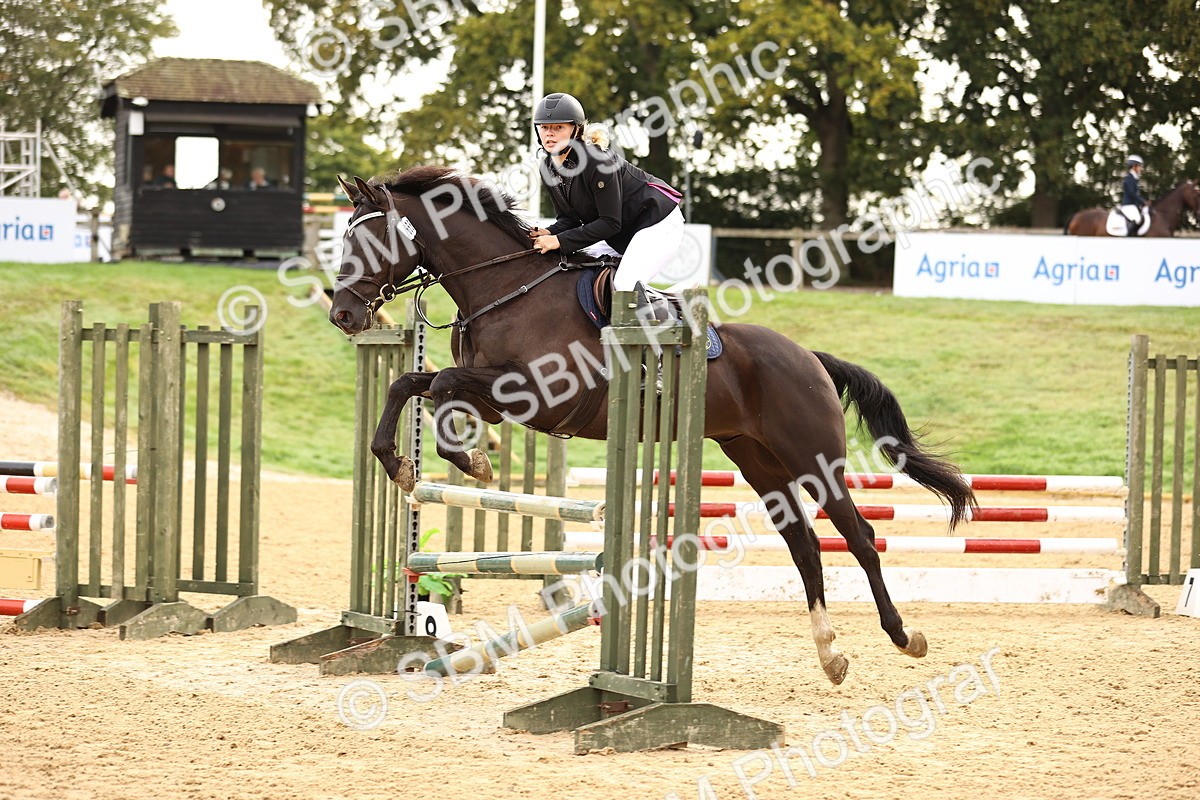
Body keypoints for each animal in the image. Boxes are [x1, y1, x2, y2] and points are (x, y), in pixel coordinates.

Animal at [328, 166, 978, 686]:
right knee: (805, 545)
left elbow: (438, 388)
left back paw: (904, 637)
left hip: (813, 460)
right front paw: (401, 465)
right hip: (758, 461)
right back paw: (830, 655)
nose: (342, 315)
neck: (506, 290)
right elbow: (410, 385)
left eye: (370, 239)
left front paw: (472, 461)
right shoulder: (493, 397)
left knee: (860, 538)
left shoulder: (530, 396)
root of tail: (809, 357)